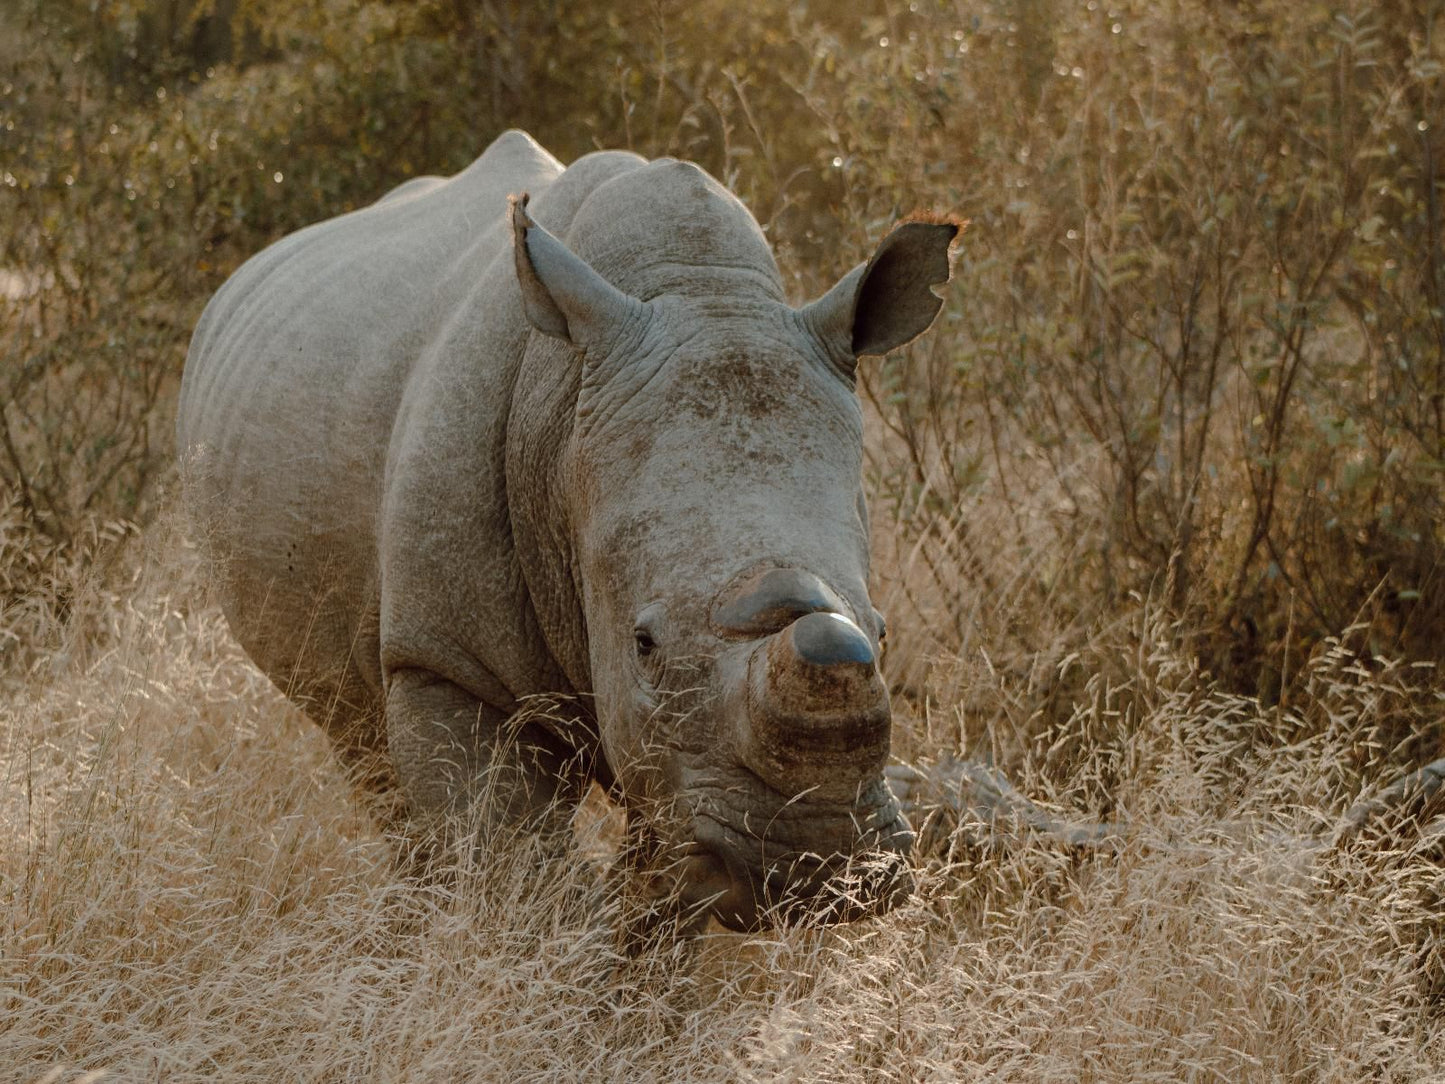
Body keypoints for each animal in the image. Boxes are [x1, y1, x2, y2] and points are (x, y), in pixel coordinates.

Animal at [177, 129, 959, 936]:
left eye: (884, 630)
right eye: (643, 644)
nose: (814, 866)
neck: (697, 290)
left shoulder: (676, 762)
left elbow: (661, 891)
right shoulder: (446, 662)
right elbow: (509, 864)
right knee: (362, 750)